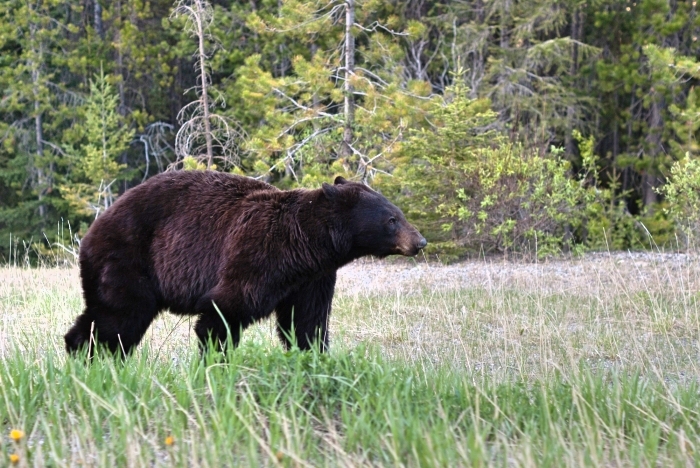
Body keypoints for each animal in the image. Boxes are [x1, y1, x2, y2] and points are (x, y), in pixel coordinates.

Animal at [65, 172, 426, 354]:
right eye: (392, 219)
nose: (420, 241)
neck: (306, 246)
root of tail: (92, 231)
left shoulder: (314, 278)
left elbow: (306, 321)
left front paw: (314, 358)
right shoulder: (257, 253)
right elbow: (225, 311)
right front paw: (215, 361)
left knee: (103, 317)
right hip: (128, 259)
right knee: (120, 317)